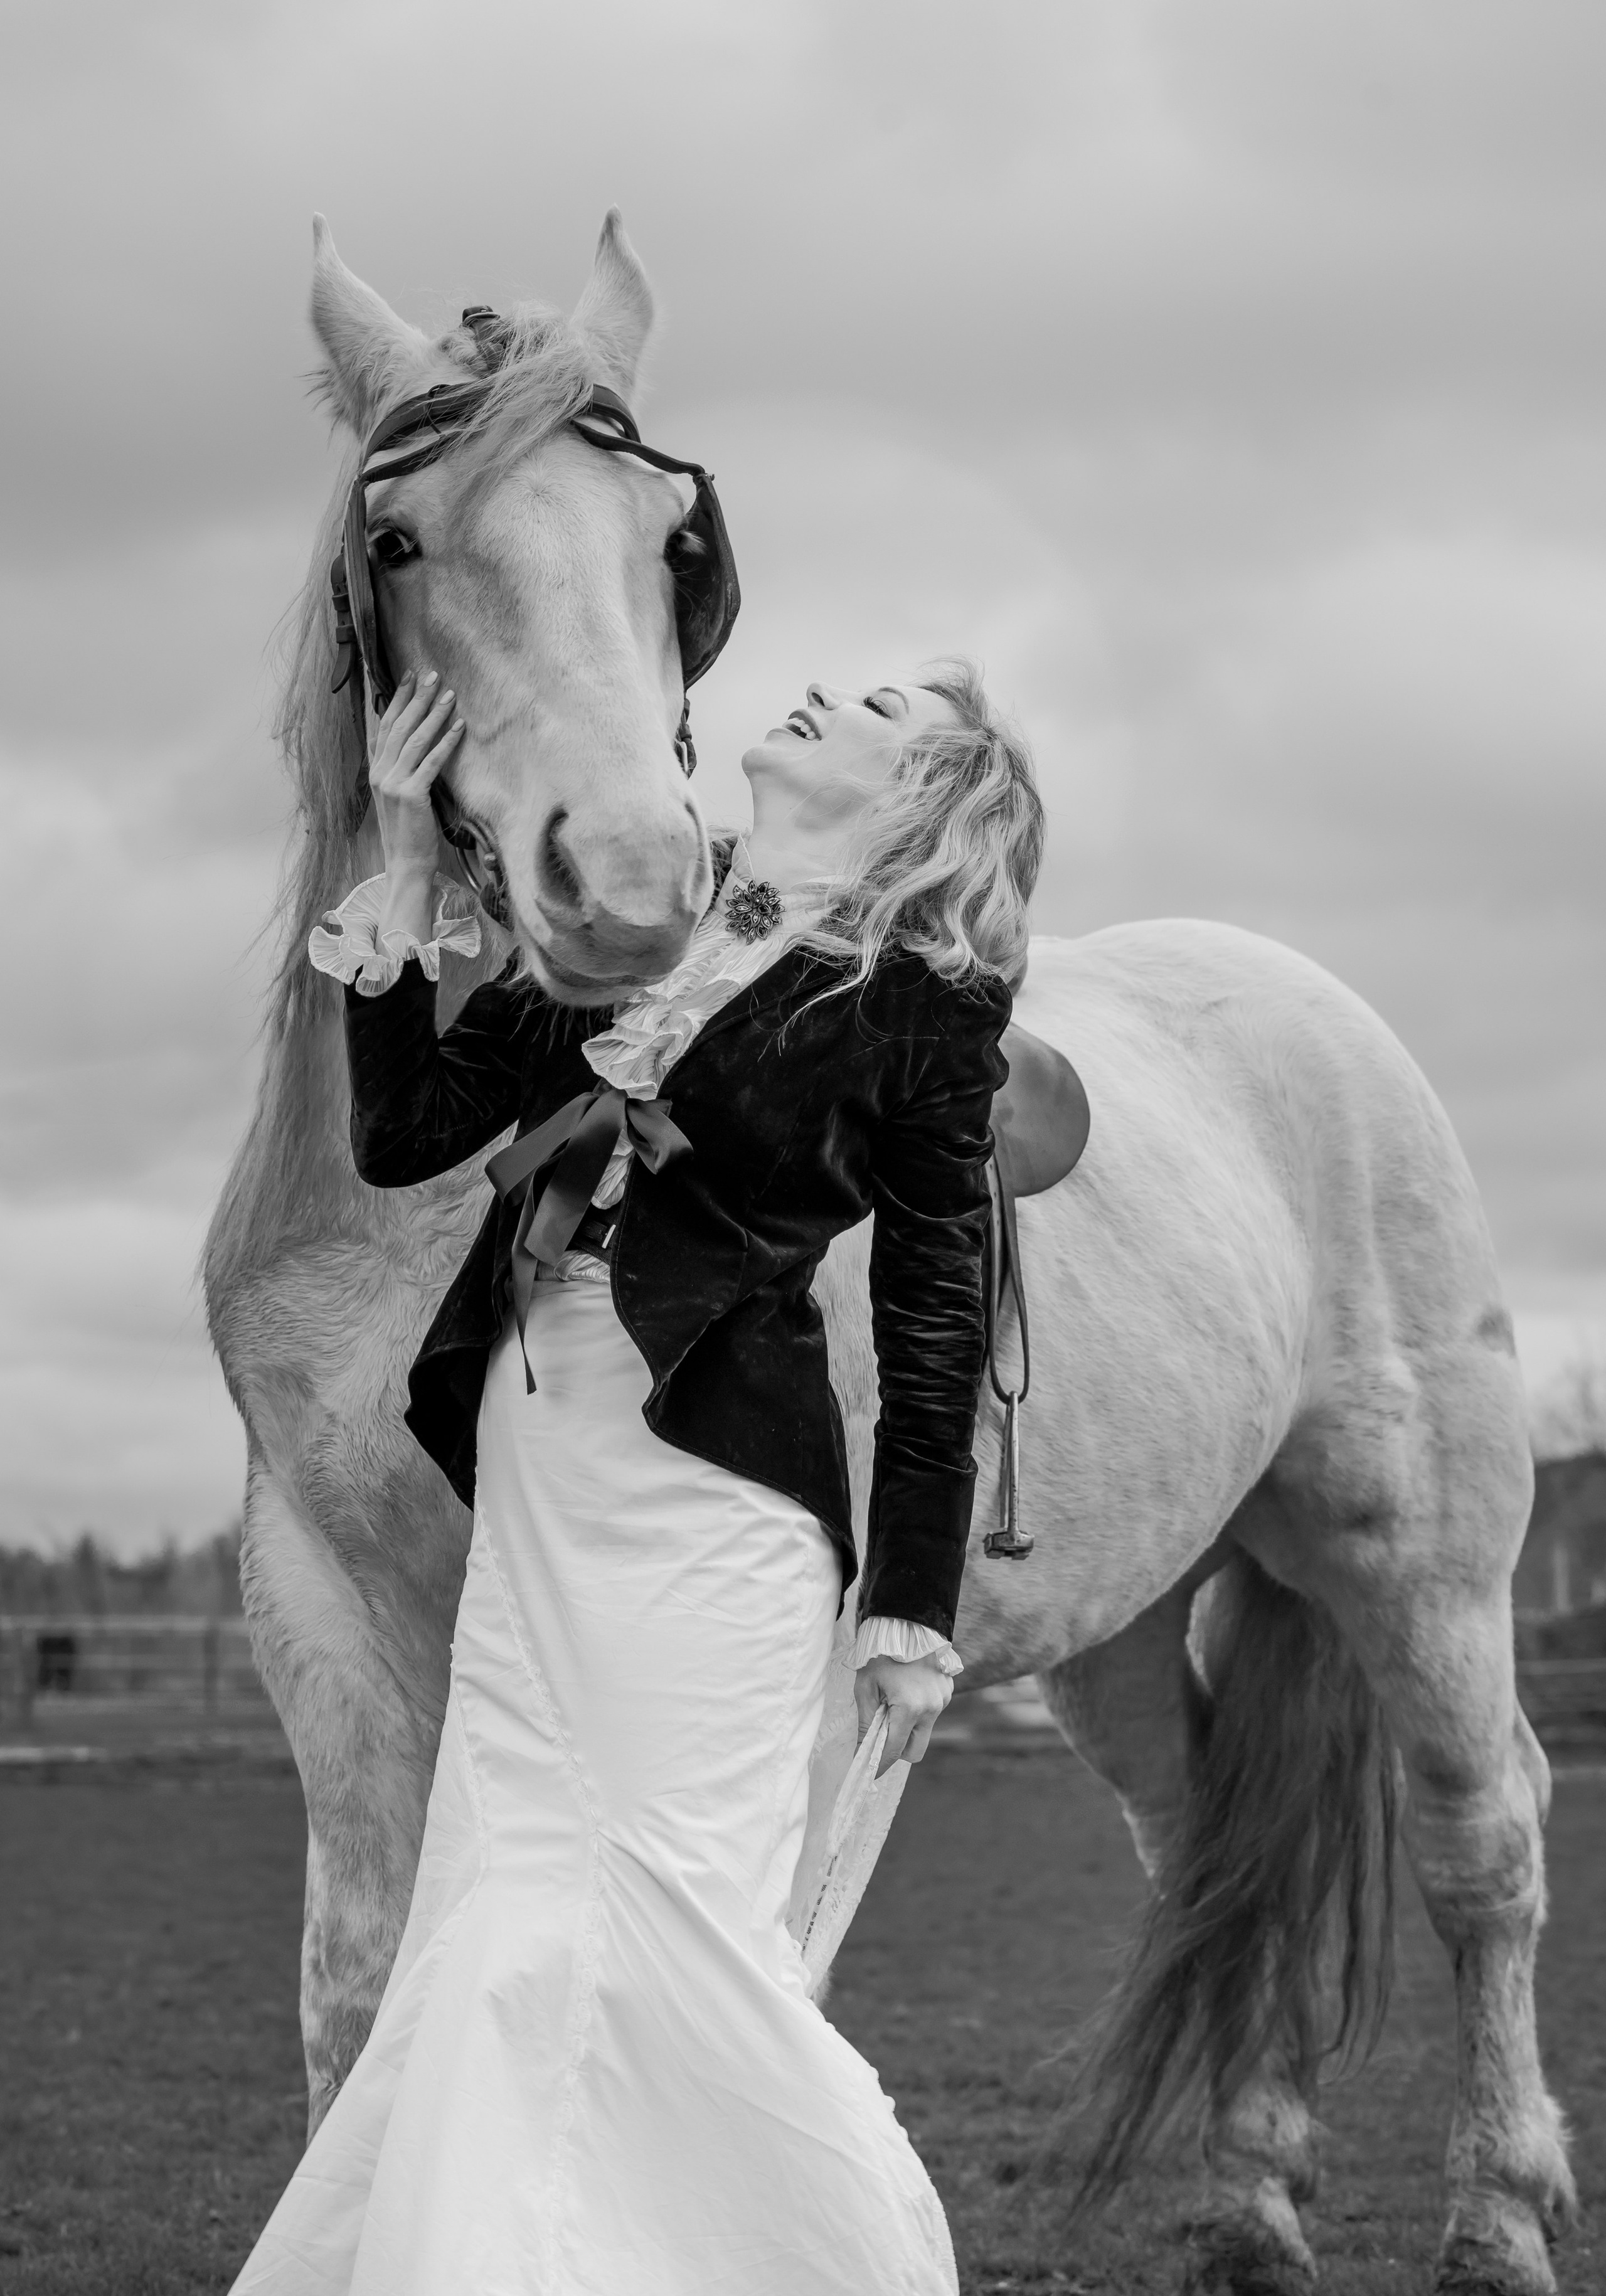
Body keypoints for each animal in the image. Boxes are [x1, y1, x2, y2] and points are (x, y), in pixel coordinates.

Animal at [204, 214, 1574, 2296]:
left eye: (667, 543)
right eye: (402, 539)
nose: (624, 881)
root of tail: (1310, 1002)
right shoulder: (323, 1602)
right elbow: (356, 1993)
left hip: (1415, 1554)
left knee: (1480, 1837)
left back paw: (1497, 2208)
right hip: (1132, 1603)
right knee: (1211, 1847)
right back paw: (1249, 2194)